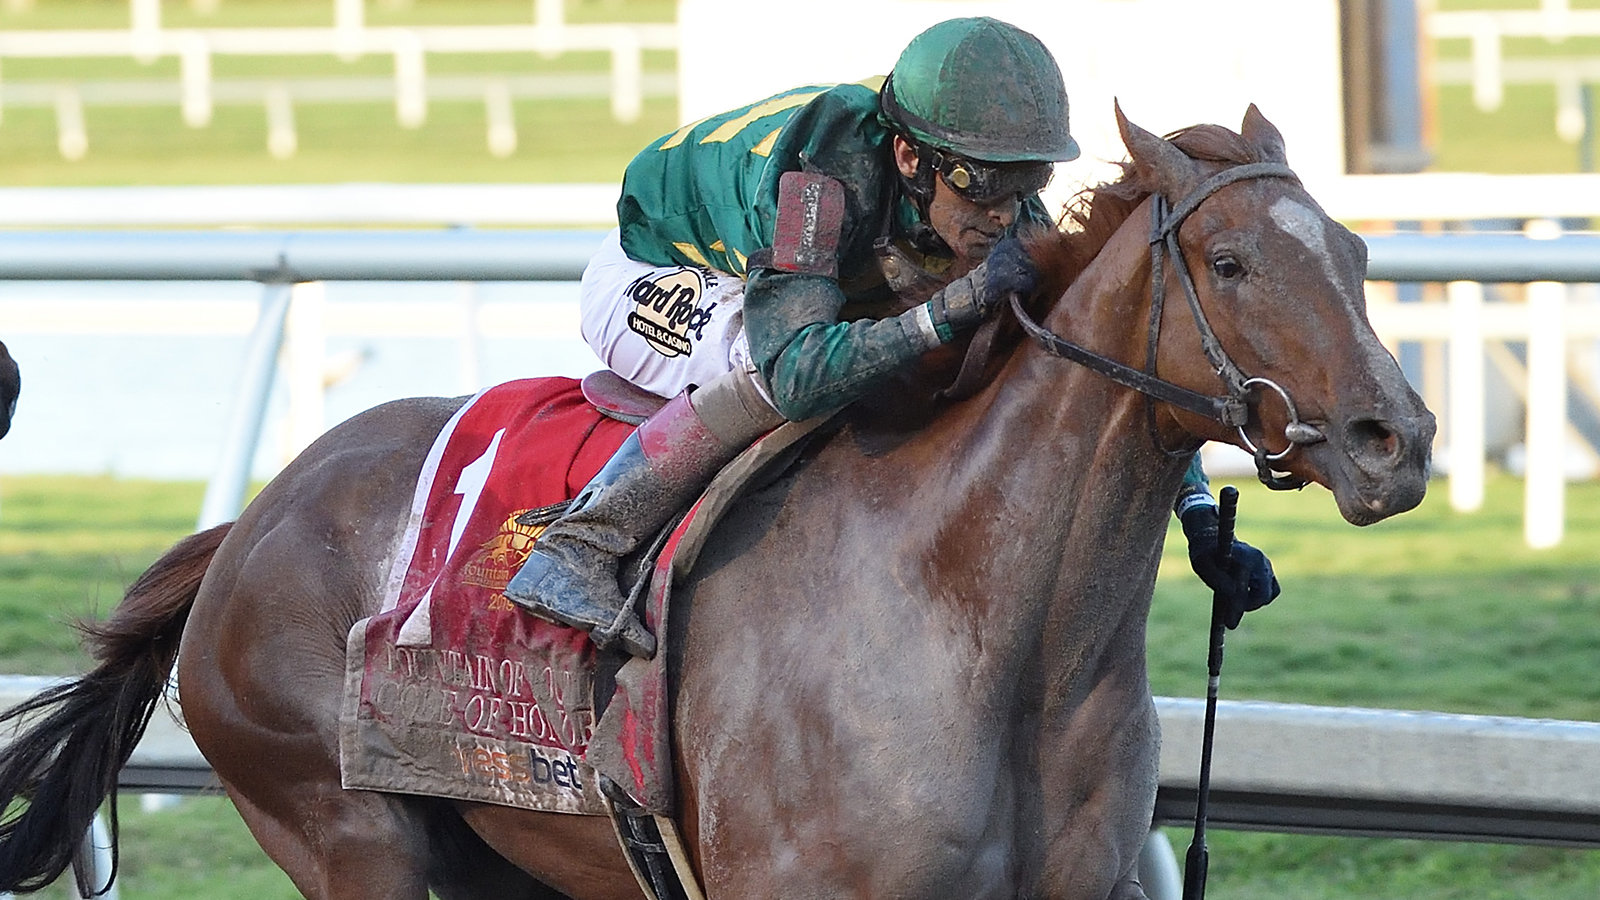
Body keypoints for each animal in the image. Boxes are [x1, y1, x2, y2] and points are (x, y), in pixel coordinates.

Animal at [0, 106, 1427, 896]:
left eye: (1360, 252)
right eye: (1230, 261)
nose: (1396, 439)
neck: (985, 629)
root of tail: (251, 522)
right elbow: (784, 362)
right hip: (349, 833)